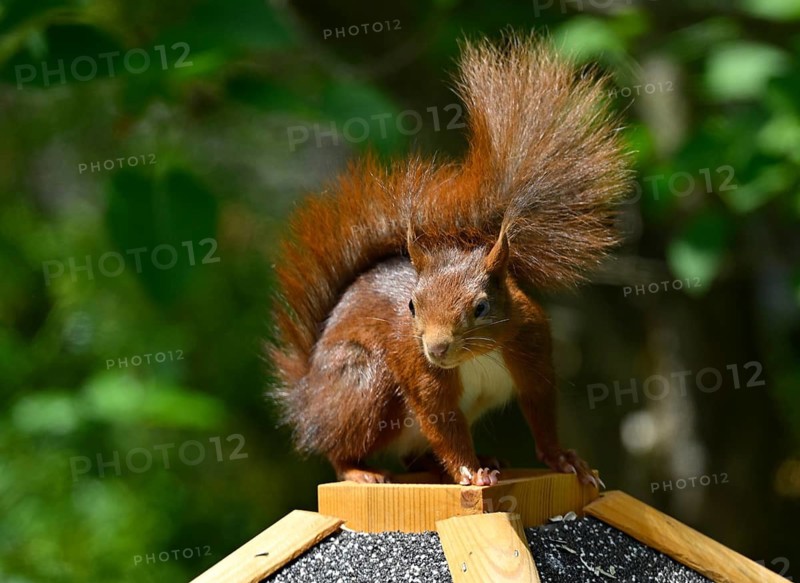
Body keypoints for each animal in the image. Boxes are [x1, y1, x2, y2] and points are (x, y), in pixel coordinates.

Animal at [267, 33, 631, 487]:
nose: (437, 348)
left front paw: (564, 459)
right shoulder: (422, 375)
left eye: (482, 307)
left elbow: (541, 411)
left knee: (413, 456)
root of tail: (305, 401)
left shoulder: (533, 354)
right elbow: (445, 427)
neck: (475, 357)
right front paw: (471, 472)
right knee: (340, 447)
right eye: (411, 306)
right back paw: (360, 471)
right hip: (363, 382)